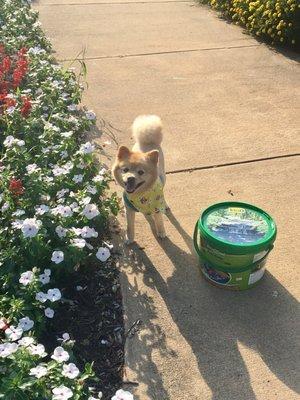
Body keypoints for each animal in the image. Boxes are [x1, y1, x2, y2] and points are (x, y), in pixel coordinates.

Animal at [112, 113, 168, 244]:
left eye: (141, 172)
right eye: (125, 170)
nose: (130, 178)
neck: (140, 195)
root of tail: (147, 141)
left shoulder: (157, 207)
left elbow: (159, 221)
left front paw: (161, 232)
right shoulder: (129, 210)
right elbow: (130, 226)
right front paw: (130, 238)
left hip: (163, 177)